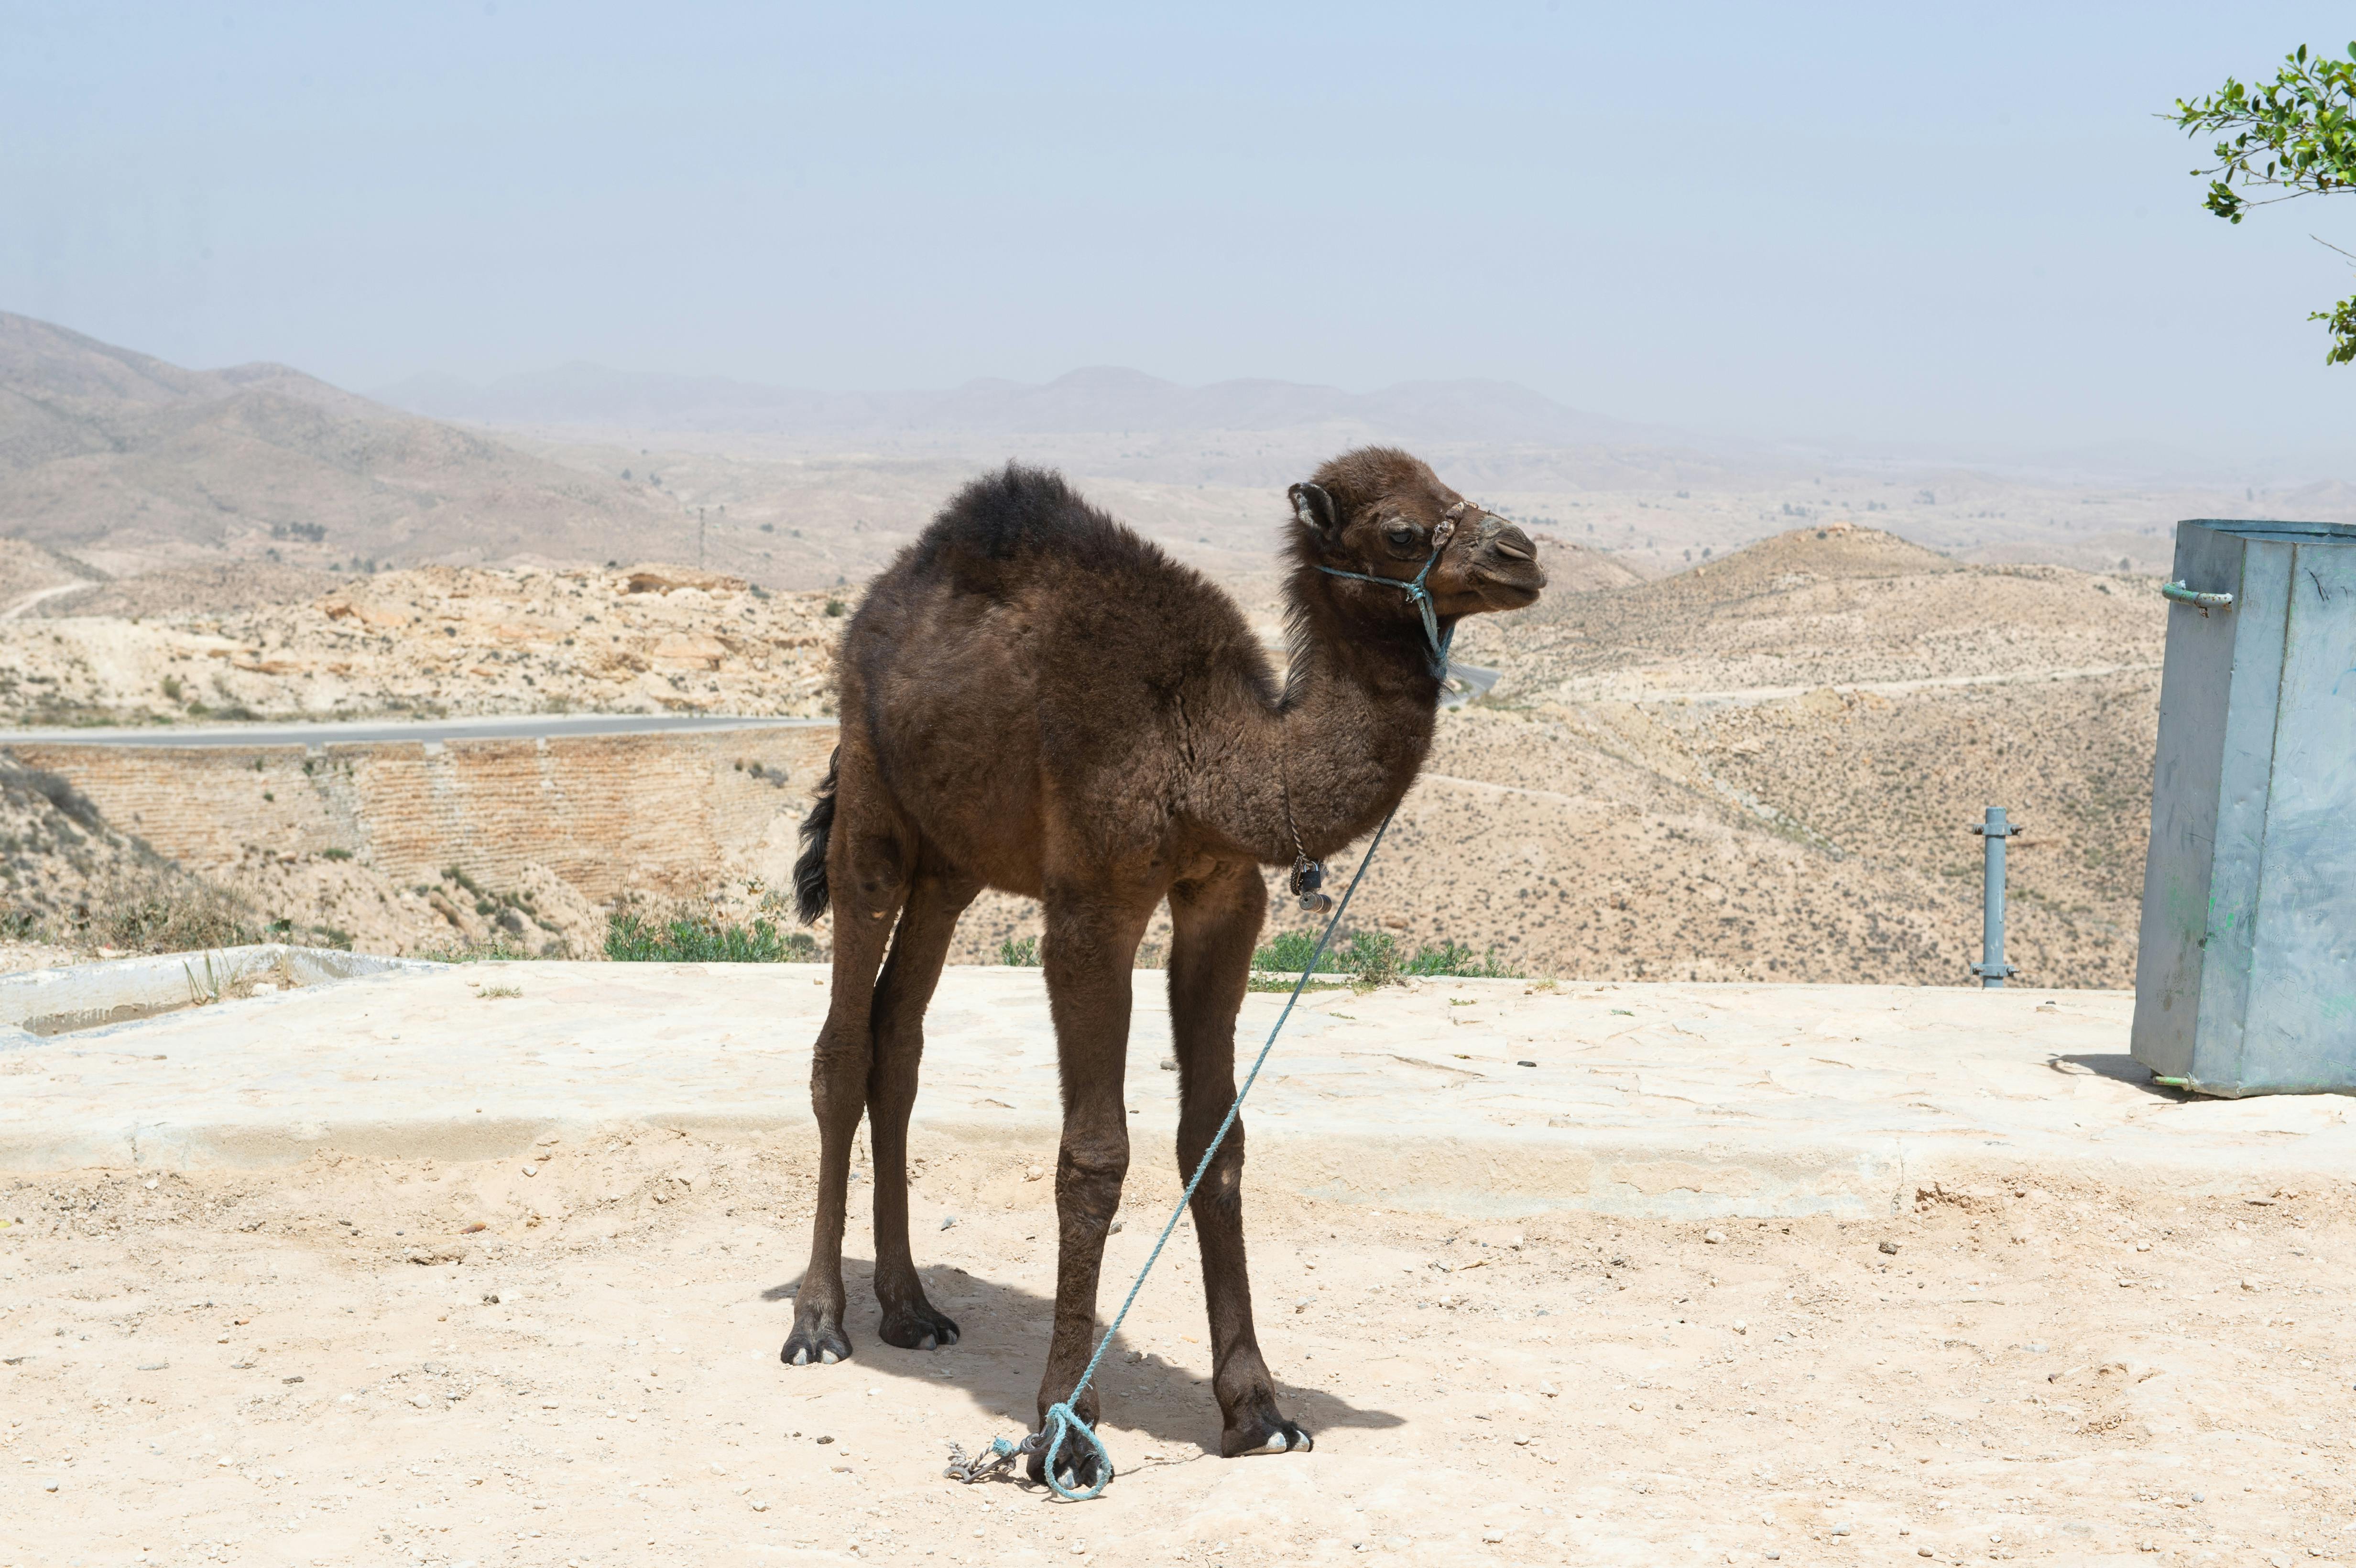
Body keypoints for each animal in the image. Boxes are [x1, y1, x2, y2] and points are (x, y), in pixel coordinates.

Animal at [781, 447, 1545, 1479]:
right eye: (1399, 529)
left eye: (1449, 490)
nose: (1522, 555)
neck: (1212, 754)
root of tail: (881, 602)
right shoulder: (1091, 901)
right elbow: (1094, 1153)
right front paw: (1063, 1426)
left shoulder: (1225, 893)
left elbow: (1216, 1142)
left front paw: (1259, 1410)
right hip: (872, 798)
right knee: (843, 1045)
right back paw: (820, 1320)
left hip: (953, 860)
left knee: (898, 1041)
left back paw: (912, 1310)